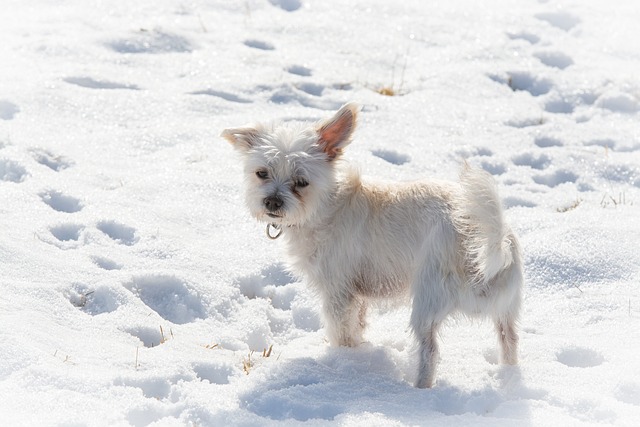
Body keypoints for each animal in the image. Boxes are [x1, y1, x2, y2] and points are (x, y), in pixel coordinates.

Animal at [222, 103, 524, 388]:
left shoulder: (337, 292)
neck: (325, 206)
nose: (272, 202)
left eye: (301, 182)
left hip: (427, 301)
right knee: (509, 340)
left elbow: (342, 330)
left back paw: (419, 390)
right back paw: (508, 377)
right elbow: (359, 322)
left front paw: (343, 357)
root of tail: (490, 241)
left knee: (430, 351)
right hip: (505, 311)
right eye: (262, 173)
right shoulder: (357, 295)